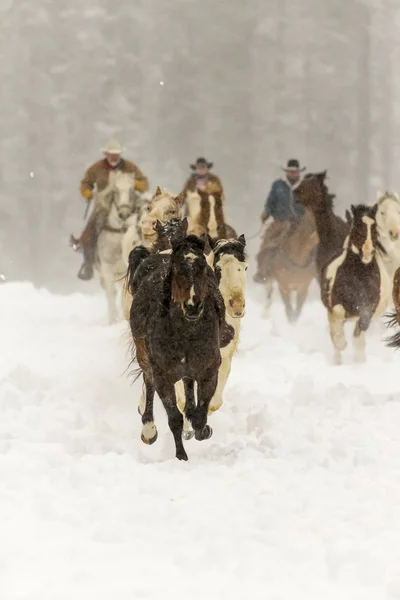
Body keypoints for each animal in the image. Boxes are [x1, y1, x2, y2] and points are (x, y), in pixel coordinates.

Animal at [95, 171, 142, 326]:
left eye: (132, 190)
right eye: (115, 191)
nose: (124, 214)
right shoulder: (107, 267)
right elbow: (111, 293)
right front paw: (113, 319)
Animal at [130, 232, 233, 462]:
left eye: (203, 266)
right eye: (177, 268)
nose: (193, 306)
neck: (186, 332)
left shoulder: (208, 370)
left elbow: (201, 414)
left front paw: (202, 429)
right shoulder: (162, 376)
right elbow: (174, 418)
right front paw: (181, 456)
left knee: (187, 383)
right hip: (144, 357)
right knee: (148, 383)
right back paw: (148, 430)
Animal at [322, 205, 390, 366]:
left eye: (375, 228)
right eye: (358, 227)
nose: (367, 251)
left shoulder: (369, 307)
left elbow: (360, 331)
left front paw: (359, 361)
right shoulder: (337, 304)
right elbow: (338, 316)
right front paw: (341, 343)